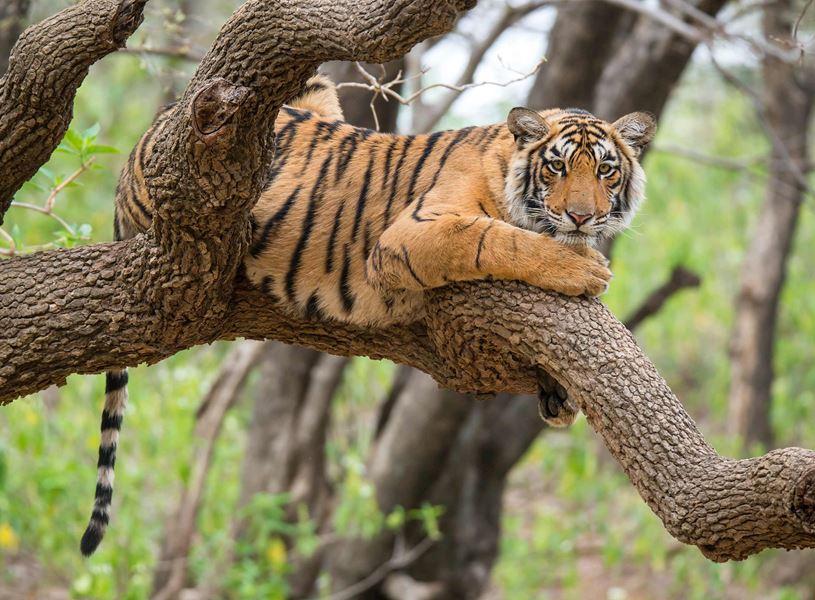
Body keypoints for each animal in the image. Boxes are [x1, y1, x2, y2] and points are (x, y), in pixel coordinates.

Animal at [80, 73, 655, 555]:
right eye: (557, 166)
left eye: (606, 170)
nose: (582, 216)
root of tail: (141, 142)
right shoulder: (414, 233)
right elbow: (498, 238)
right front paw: (582, 267)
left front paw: (558, 392)